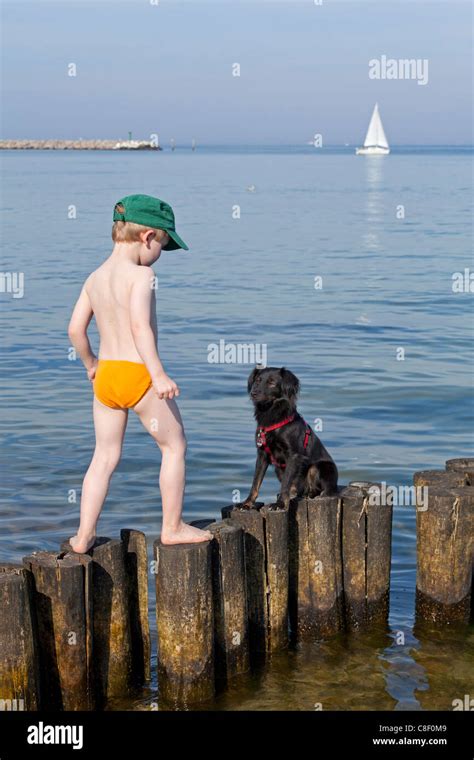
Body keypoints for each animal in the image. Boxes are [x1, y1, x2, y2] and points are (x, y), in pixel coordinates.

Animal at [243, 368, 338, 510]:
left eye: (272, 383)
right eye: (257, 381)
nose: (253, 393)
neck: (273, 418)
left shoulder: (293, 455)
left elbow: (286, 482)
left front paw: (280, 503)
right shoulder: (262, 455)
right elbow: (256, 482)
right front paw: (247, 503)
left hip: (319, 467)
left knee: (319, 489)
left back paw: (310, 494)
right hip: (278, 469)